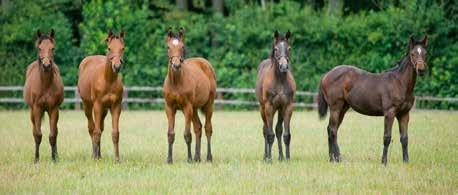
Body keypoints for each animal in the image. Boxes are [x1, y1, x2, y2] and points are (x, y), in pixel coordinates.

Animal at [23, 29, 64, 163]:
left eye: (52, 48)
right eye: (39, 48)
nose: (46, 65)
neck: (45, 85)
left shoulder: (54, 109)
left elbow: (52, 135)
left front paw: (54, 159)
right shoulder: (37, 109)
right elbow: (37, 135)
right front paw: (36, 159)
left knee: (55, 131)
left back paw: (56, 155)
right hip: (32, 112)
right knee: (34, 130)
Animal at [77, 29, 125, 161]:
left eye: (122, 48)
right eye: (109, 48)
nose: (116, 66)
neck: (108, 81)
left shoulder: (116, 106)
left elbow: (115, 133)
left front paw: (117, 159)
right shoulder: (97, 105)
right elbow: (96, 131)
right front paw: (94, 157)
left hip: (104, 110)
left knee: (101, 128)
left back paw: (99, 154)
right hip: (87, 106)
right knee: (92, 128)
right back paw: (95, 154)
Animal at [163, 27, 216, 164]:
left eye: (182, 47)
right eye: (168, 47)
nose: (176, 65)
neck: (176, 82)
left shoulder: (187, 107)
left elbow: (187, 134)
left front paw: (189, 158)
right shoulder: (169, 108)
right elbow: (170, 134)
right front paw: (169, 159)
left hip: (208, 105)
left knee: (208, 128)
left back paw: (208, 157)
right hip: (195, 108)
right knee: (198, 127)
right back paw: (197, 157)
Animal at [254, 30, 296, 161]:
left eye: (289, 48)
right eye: (276, 49)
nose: (283, 67)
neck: (280, 81)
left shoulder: (287, 106)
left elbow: (286, 134)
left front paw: (287, 158)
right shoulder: (269, 107)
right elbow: (269, 134)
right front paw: (269, 159)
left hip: (279, 110)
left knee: (278, 130)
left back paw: (281, 157)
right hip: (263, 109)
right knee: (265, 130)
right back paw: (265, 156)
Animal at [318, 35, 430, 165]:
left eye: (425, 53)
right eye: (413, 54)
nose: (421, 70)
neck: (400, 83)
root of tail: (326, 74)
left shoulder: (404, 114)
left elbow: (404, 138)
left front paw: (406, 161)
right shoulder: (389, 113)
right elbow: (387, 137)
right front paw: (384, 162)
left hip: (343, 108)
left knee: (331, 129)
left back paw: (333, 159)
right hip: (336, 107)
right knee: (332, 130)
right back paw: (336, 158)